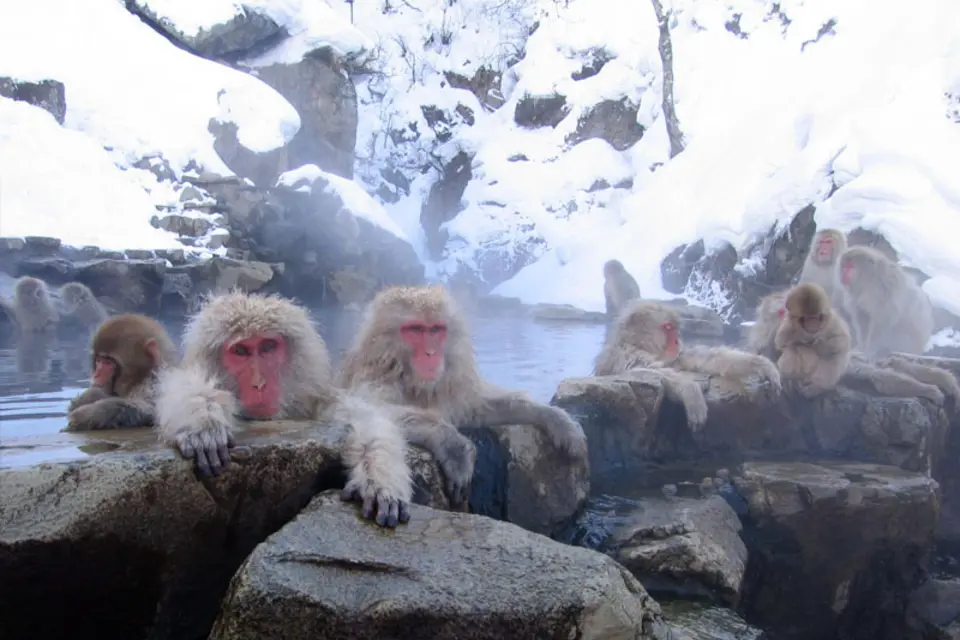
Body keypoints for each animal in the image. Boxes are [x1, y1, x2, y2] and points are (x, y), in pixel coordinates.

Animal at [154, 292, 413, 528]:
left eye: (268, 347)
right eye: (240, 351)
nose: (259, 384)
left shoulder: (320, 402)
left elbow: (365, 418)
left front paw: (379, 480)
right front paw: (203, 422)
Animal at [337, 285, 589, 506]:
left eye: (436, 329)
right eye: (416, 330)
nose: (431, 353)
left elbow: (476, 408)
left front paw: (553, 416)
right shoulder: (373, 379)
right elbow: (369, 411)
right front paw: (453, 444)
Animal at [593, 300, 781, 431]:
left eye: (674, 328)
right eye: (668, 327)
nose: (677, 341)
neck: (640, 345)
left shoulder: (675, 355)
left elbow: (705, 358)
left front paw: (762, 364)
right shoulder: (626, 356)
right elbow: (646, 370)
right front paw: (691, 392)